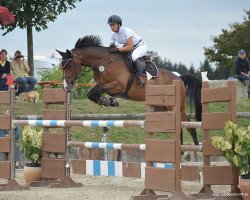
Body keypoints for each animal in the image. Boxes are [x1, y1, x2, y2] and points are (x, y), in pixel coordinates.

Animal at [56, 35, 201, 145]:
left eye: (69, 64)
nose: (66, 87)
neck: (104, 62)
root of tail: (179, 78)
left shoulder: (118, 86)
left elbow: (95, 91)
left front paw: (107, 101)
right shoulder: (103, 85)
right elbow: (92, 93)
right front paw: (107, 101)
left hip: (176, 107)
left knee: (189, 127)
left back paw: (194, 150)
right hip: (162, 107)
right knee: (180, 127)